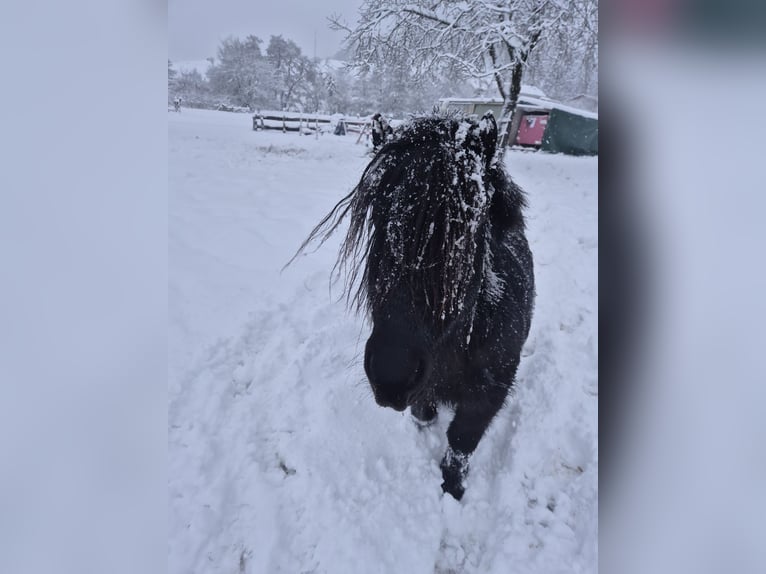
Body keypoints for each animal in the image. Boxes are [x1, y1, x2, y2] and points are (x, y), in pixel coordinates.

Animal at [292, 111, 536, 500]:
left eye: (464, 232)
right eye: (379, 220)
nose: (391, 377)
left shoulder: (489, 391)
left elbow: (461, 441)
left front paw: (453, 488)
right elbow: (425, 409)